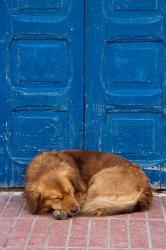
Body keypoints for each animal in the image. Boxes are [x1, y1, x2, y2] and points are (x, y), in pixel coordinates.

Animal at [24, 150, 152, 219]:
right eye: (56, 198)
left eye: (70, 191)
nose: (75, 209)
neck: (45, 167)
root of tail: (146, 186)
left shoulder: (82, 193)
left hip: (97, 181)